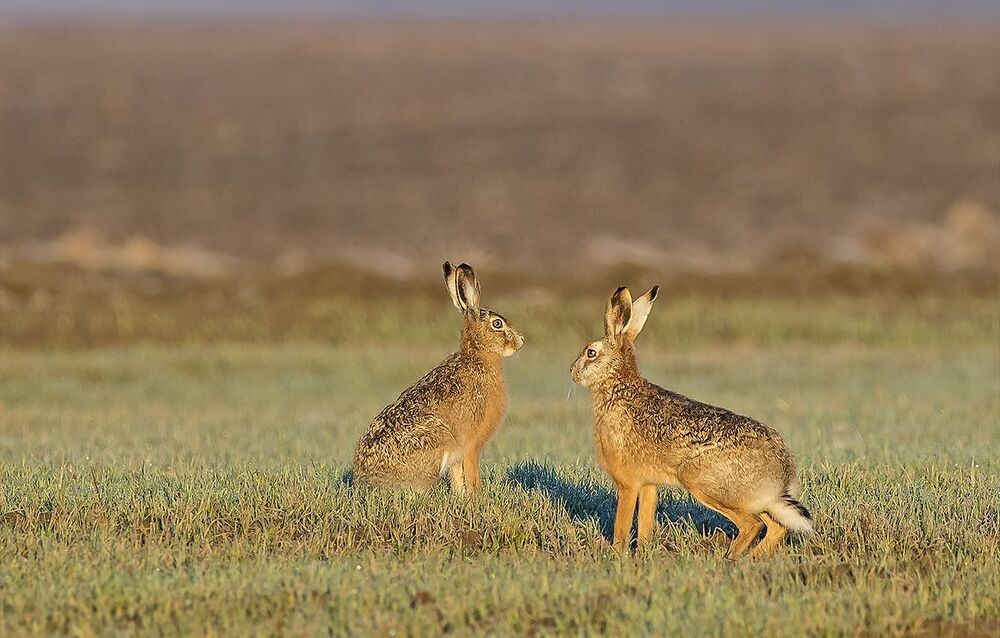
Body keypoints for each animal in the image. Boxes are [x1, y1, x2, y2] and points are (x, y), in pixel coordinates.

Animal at [352, 262, 524, 493]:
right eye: (498, 324)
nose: (521, 340)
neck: (476, 356)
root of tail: (367, 483)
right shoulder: (471, 444)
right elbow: (472, 476)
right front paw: (477, 497)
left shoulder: (457, 456)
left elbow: (457, 477)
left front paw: (461, 497)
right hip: (437, 441)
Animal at [570, 285, 812, 559]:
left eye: (591, 353)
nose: (572, 371)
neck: (618, 386)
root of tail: (783, 470)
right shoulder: (648, 484)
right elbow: (645, 522)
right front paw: (643, 554)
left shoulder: (628, 483)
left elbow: (622, 524)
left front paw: (616, 555)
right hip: (758, 500)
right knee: (776, 526)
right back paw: (750, 557)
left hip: (701, 482)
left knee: (753, 524)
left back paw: (730, 557)